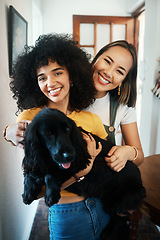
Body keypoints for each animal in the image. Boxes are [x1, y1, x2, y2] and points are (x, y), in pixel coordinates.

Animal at [21, 108, 146, 238]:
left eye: (68, 129)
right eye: (48, 133)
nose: (69, 155)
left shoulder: (79, 165)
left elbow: (49, 175)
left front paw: (51, 195)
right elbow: (30, 175)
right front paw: (27, 193)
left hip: (122, 199)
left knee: (122, 216)